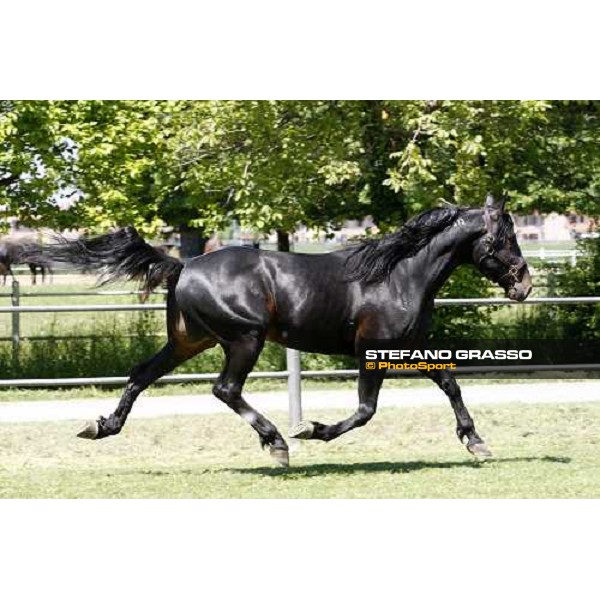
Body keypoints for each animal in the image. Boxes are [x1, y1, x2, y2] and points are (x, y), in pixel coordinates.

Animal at [27, 195, 528, 466]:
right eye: (504, 238)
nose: (523, 284)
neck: (399, 274)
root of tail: (184, 264)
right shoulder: (372, 351)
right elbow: (365, 410)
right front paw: (312, 429)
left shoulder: (411, 347)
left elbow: (450, 384)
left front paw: (477, 443)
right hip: (243, 340)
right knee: (225, 389)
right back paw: (277, 443)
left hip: (189, 341)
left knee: (141, 374)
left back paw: (101, 426)